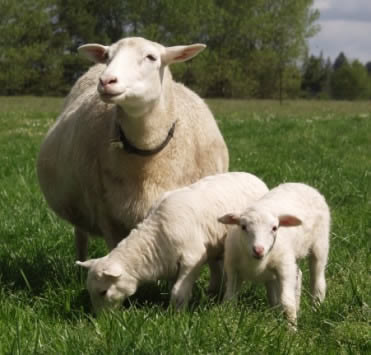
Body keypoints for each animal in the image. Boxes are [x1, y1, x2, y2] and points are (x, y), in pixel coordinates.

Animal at [75, 173, 268, 314]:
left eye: (103, 292)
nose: (100, 320)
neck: (157, 236)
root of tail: (255, 178)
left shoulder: (192, 258)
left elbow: (178, 292)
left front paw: (177, 316)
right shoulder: (171, 263)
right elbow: (173, 286)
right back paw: (213, 292)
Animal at [218, 184, 332, 328]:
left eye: (274, 228)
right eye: (243, 227)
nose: (258, 250)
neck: (255, 262)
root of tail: (303, 185)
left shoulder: (284, 268)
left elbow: (287, 303)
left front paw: (292, 329)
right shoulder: (233, 269)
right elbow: (230, 298)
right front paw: (228, 320)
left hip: (320, 243)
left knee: (317, 278)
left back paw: (316, 307)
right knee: (297, 275)